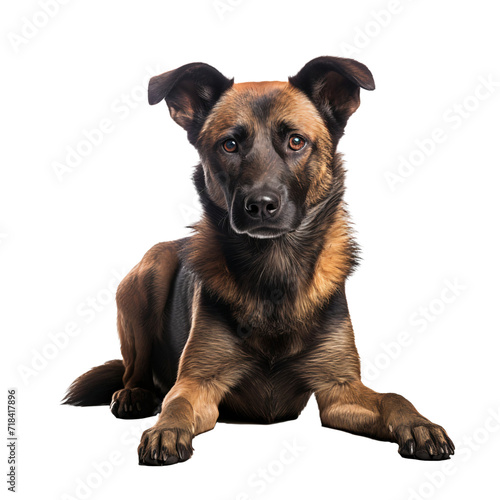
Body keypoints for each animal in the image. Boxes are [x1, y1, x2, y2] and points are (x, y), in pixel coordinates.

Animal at [64, 55, 456, 464]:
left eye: (296, 141)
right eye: (230, 145)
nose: (261, 205)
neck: (274, 270)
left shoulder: (339, 389)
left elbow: (394, 396)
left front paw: (419, 424)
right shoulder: (198, 382)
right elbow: (177, 403)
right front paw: (166, 430)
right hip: (149, 273)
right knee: (133, 371)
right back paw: (134, 394)